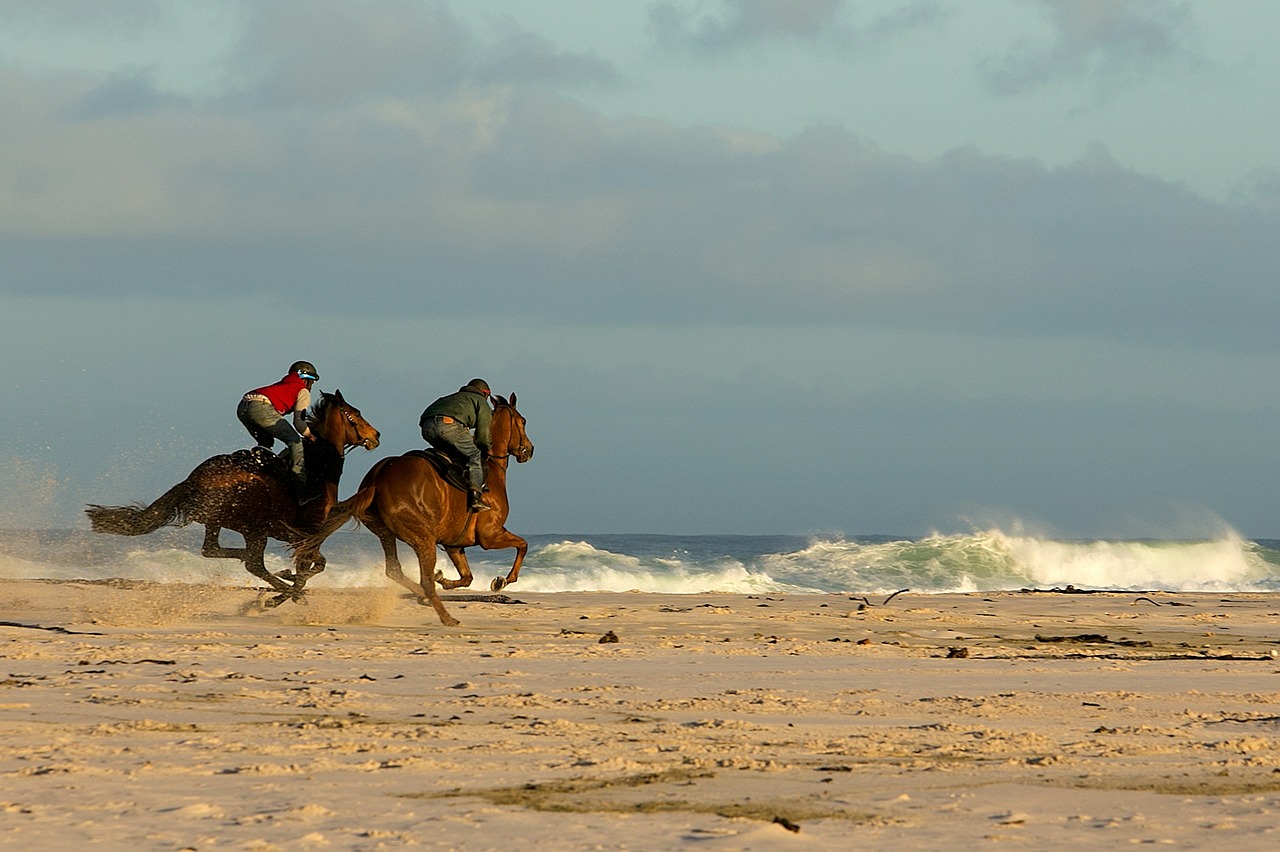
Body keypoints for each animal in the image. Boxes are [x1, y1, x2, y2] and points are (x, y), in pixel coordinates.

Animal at [85, 388, 378, 601]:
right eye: (356, 414)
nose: (376, 435)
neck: (320, 464)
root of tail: (193, 480)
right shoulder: (305, 535)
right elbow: (313, 567)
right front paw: (288, 590)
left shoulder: (304, 537)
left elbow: (312, 568)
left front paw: (288, 580)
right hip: (254, 527)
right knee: (253, 563)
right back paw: (280, 587)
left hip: (218, 522)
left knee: (213, 550)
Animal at [302, 391, 532, 624]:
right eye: (523, 421)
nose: (529, 450)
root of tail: (377, 479)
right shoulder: (490, 535)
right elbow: (522, 544)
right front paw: (504, 580)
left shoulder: (454, 544)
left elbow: (467, 577)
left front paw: (445, 580)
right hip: (423, 539)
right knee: (425, 581)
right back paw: (446, 617)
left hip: (385, 534)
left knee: (394, 570)